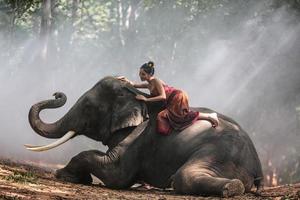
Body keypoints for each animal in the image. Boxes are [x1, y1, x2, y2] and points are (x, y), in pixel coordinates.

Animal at [27, 76, 262, 197]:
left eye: (87, 107)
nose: (57, 93)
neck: (139, 97)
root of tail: (257, 165)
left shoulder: (136, 138)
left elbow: (116, 174)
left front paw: (63, 175)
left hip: (219, 153)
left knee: (184, 176)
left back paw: (231, 188)